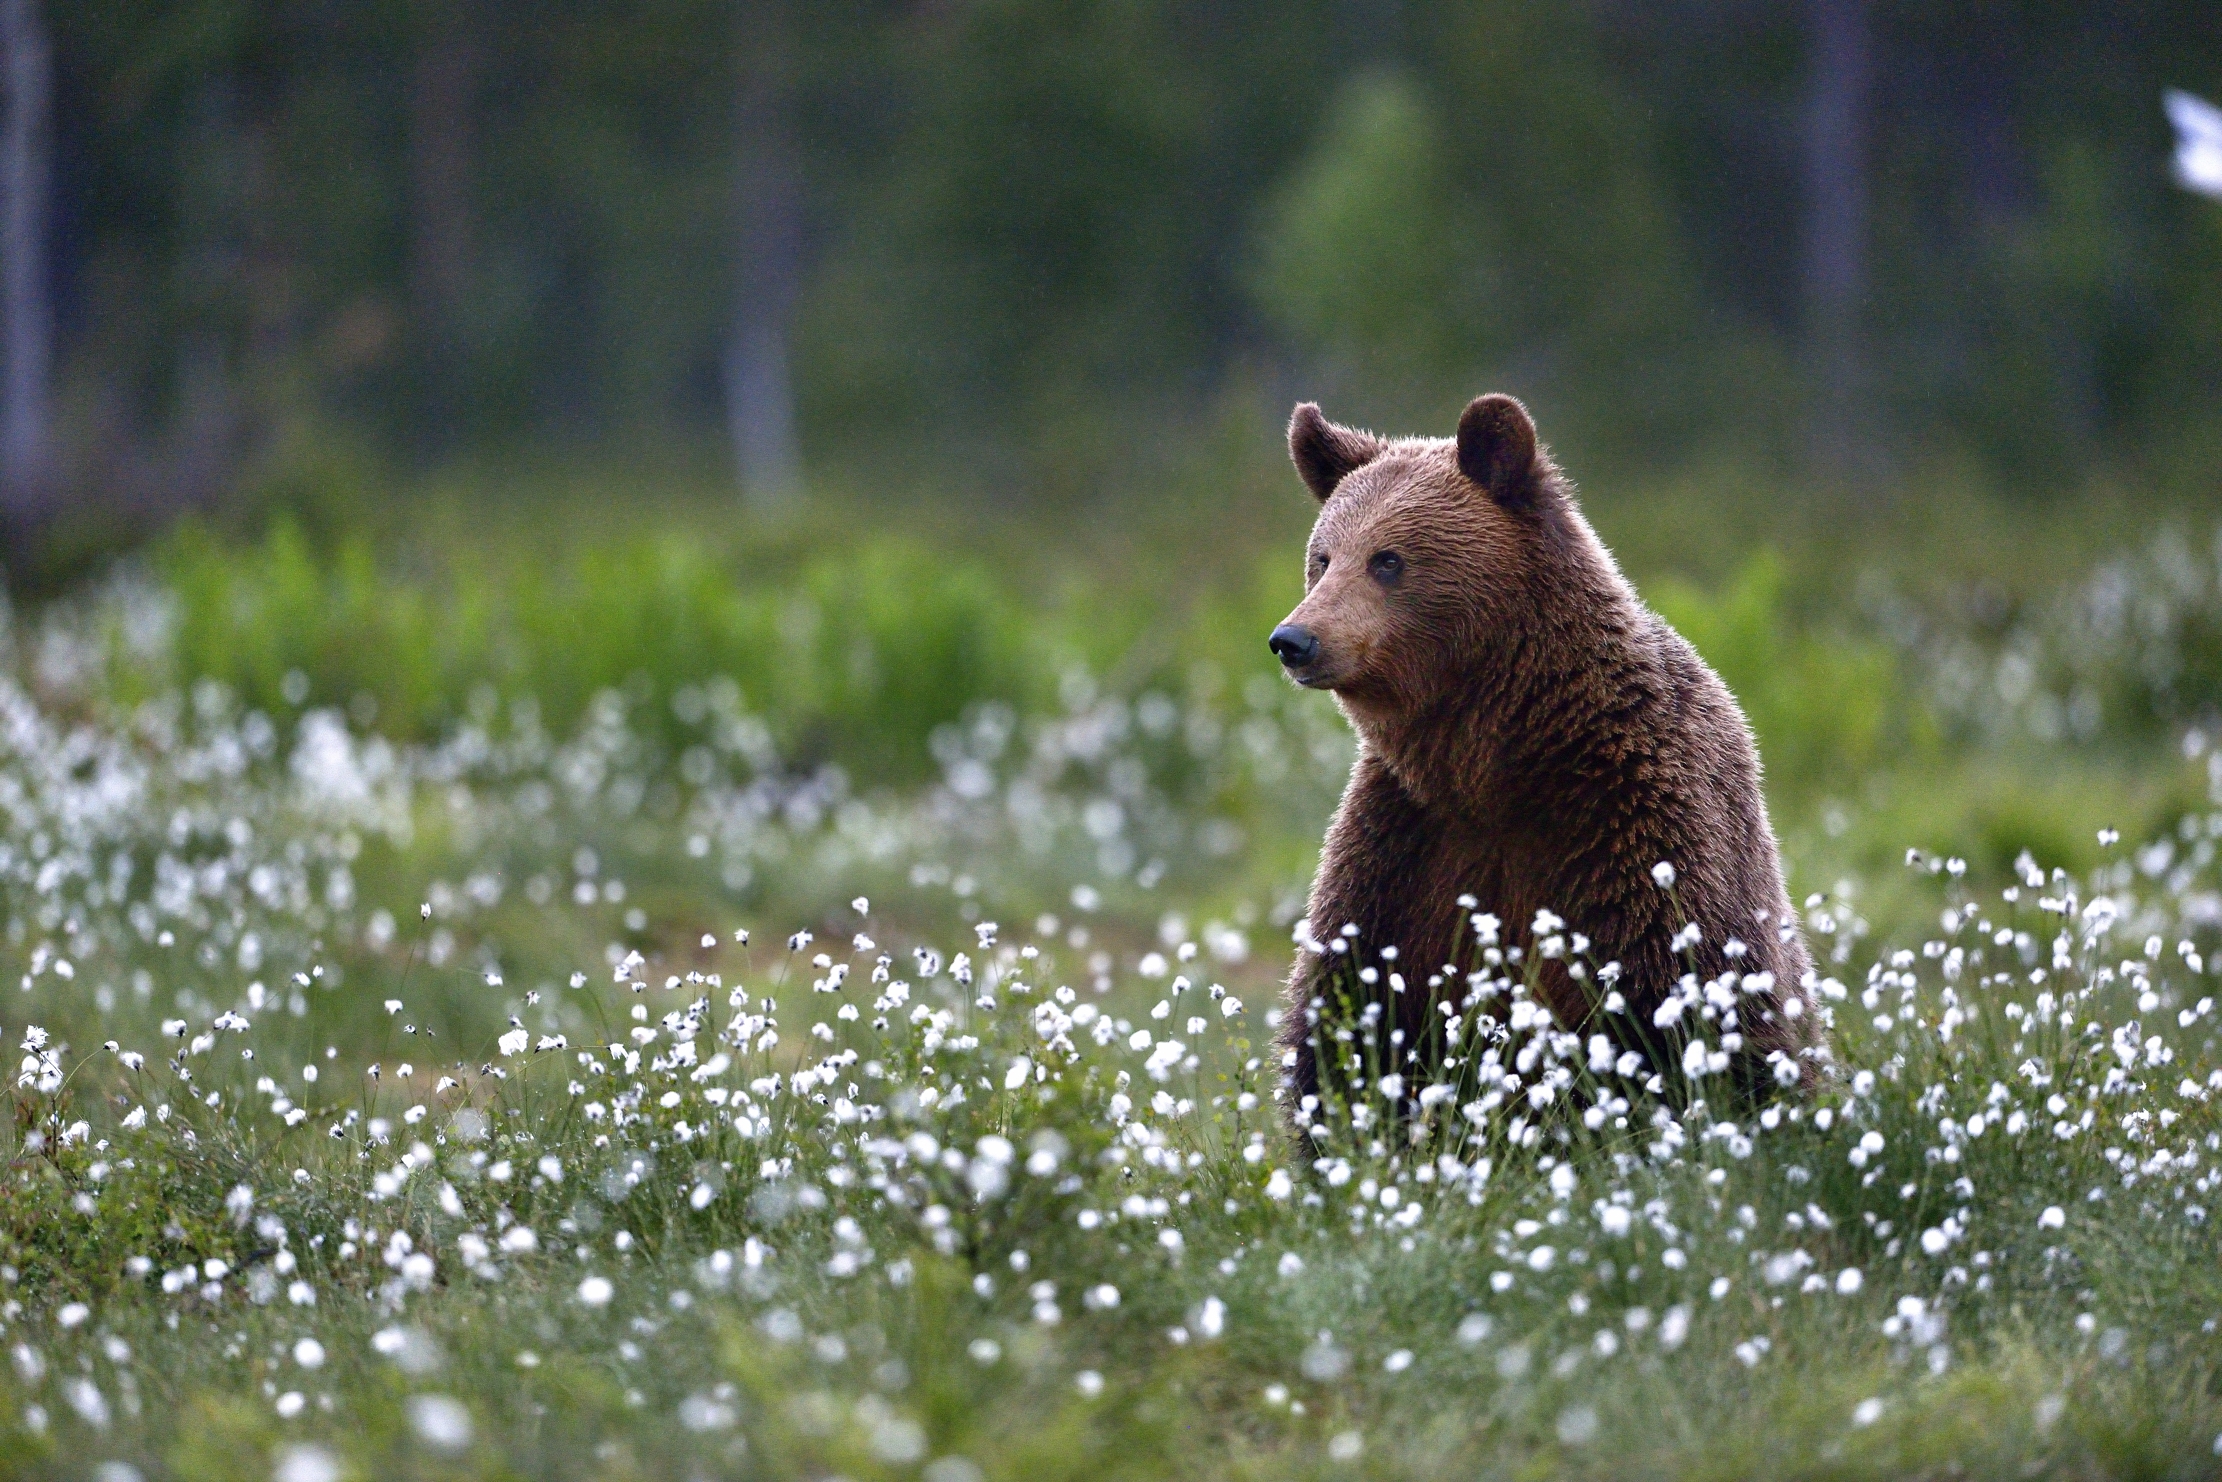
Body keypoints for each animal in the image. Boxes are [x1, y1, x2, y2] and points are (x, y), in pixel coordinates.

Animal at [1268, 393, 1824, 1124]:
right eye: (1323, 556)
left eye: (1387, 560)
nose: (1294, 639)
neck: (1496, 760)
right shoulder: (1405, 846)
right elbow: (1354, 1009)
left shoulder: (1635, 821)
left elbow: (1677, 995)